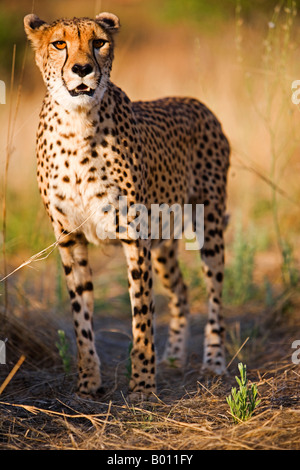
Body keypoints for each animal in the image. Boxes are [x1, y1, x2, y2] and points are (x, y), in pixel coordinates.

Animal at [24, 11, 230, 400]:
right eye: (59, 44)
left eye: (99, 42)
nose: (82, 69)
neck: (77, 124)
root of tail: (194, 102)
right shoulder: (70, 238)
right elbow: (81, 316)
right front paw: (88, 384)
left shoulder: (134, 236)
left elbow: (143, 314)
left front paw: (144, 386)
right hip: (163, 239)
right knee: (181, 291)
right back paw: (174, 357)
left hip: (208, 224)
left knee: (214, 295)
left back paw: (213, 363)